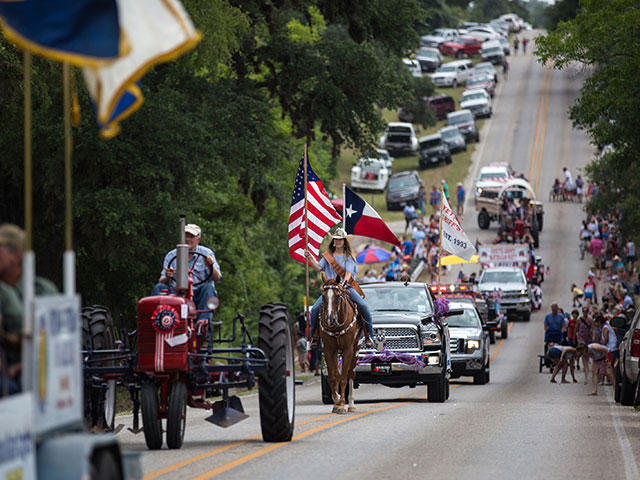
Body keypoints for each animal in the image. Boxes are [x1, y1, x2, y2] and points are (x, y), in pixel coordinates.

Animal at [318, 280, 362, 414]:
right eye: (323, 296)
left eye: (338, 296)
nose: (329, 320)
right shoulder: (328, 349)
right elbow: (333, 377)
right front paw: (336, 401)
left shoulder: (348, 349)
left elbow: (343, 377)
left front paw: (342, 404)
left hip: (355, 348)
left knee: (351, 374)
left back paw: (351, 404)